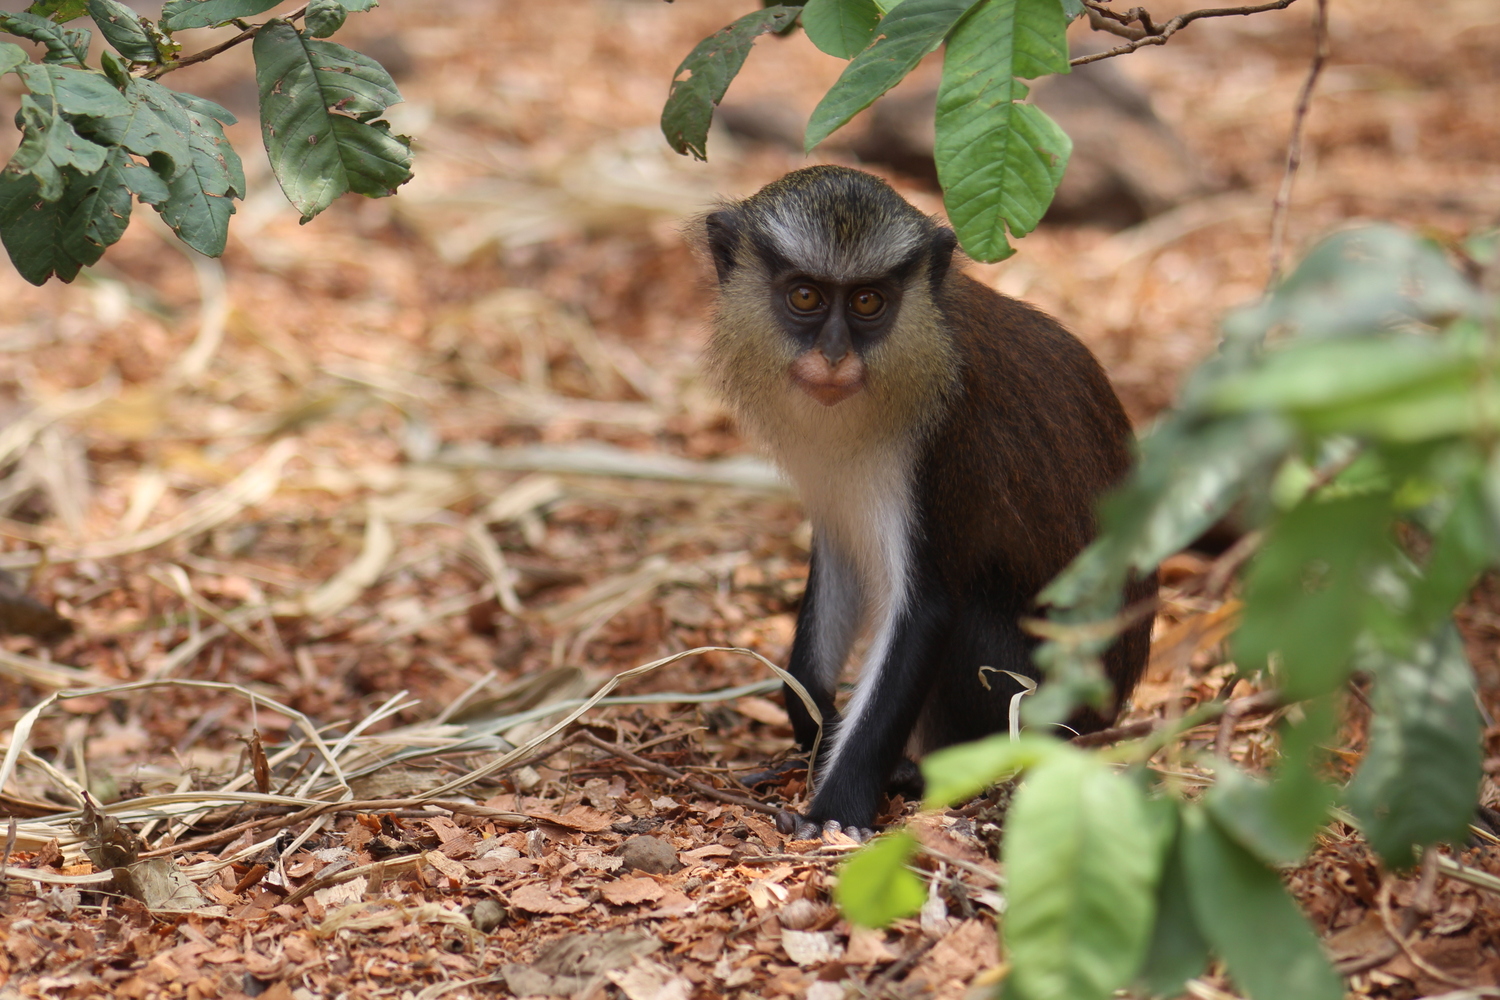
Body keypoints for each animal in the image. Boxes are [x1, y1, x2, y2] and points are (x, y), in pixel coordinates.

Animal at [696, 167, 1152, 839]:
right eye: (805, 297)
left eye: (868, 302)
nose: (834, 355)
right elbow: (839, 568)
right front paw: (814, 723)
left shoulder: (948, 450)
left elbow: (928, 610)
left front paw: (836, 811)